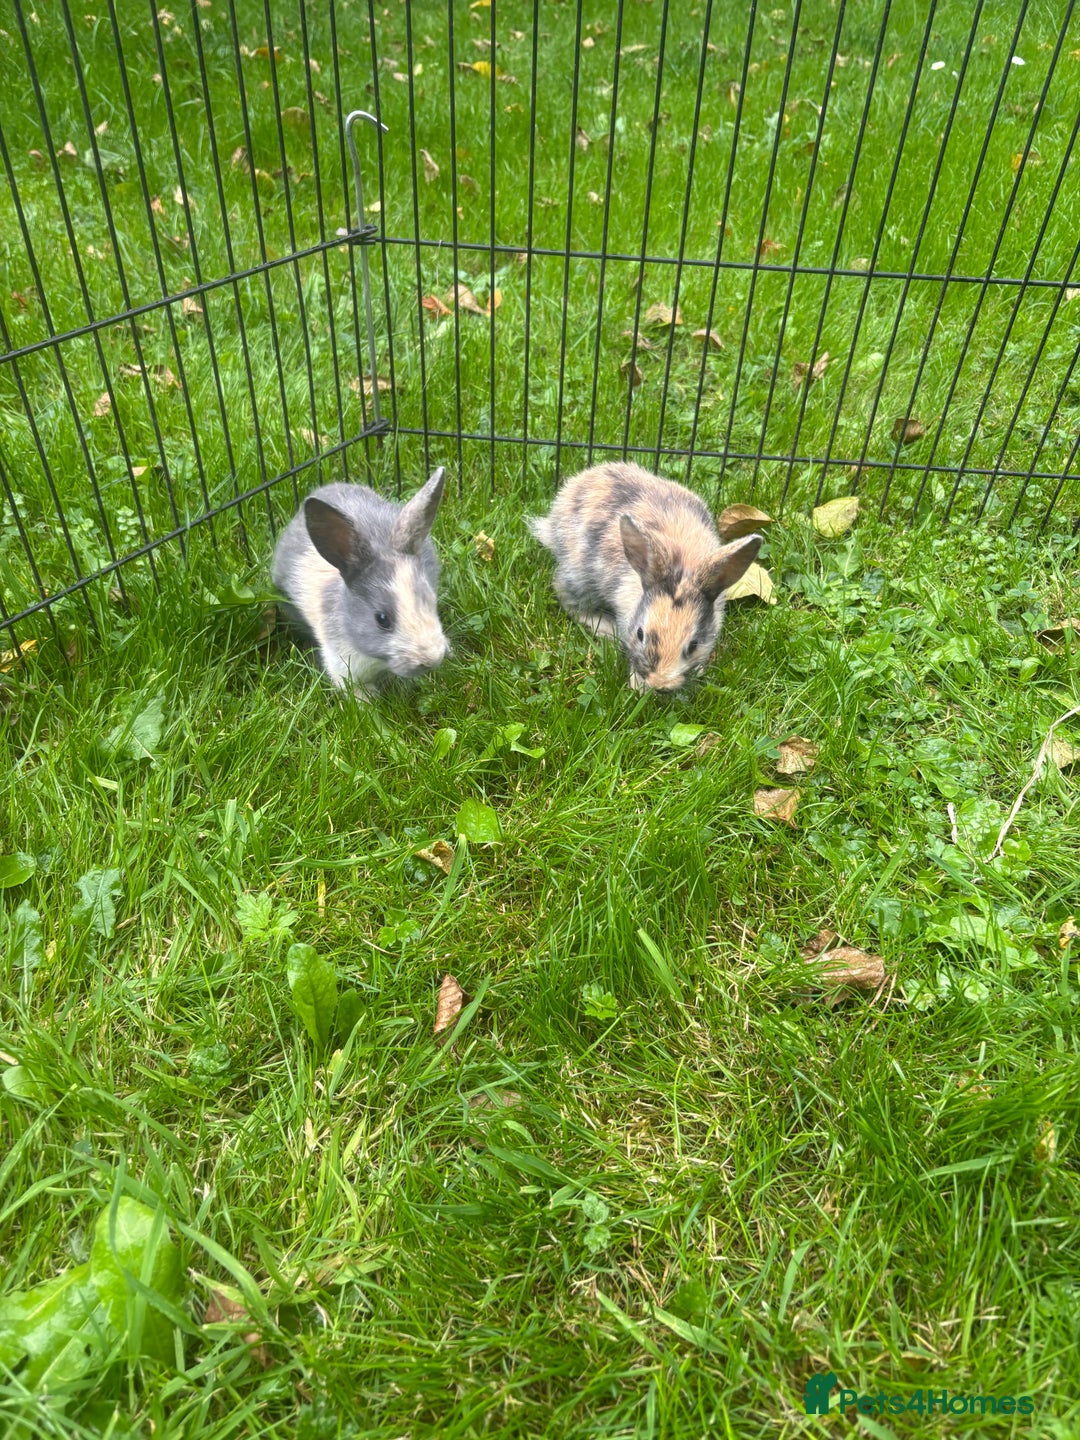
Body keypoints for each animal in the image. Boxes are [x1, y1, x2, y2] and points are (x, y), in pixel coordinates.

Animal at [529, 462, 762, 693]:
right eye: (640, 634)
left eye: (694, 644)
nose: (659, 683)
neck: (682, 568)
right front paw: (638, 686)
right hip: (579, 578)